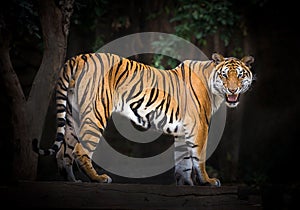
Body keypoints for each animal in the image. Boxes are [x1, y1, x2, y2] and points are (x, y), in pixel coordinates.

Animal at [32, 51, 253, 186]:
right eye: (225, 75)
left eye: (240, 75)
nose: (233, 90)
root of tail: (78, 57)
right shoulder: (199, 126)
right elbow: (198, 157)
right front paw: (207, 181)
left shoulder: (184, 131)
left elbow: (184, 160)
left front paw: (186, 183)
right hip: (96, 113)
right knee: (80, 150)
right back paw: (98, 179)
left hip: (72, 116)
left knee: (63, 151)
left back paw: (72, 181)